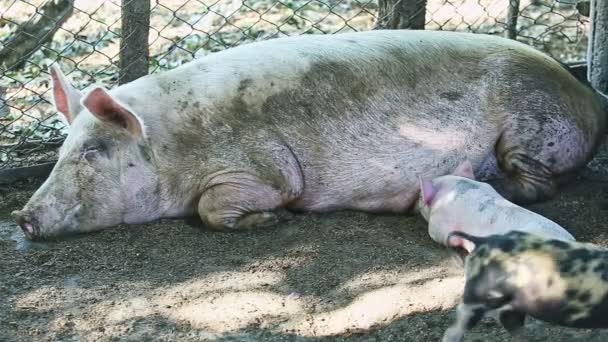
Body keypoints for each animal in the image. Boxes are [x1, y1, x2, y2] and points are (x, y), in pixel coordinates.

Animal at [11, 30, 604, 240]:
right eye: (62, 150)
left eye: (93, 151)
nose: (20, 216)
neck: (170, 148)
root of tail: (590, 99)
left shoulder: (262, 167)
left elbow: (213, 207)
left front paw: (274, 220)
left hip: (530, 128)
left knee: (539, 185)